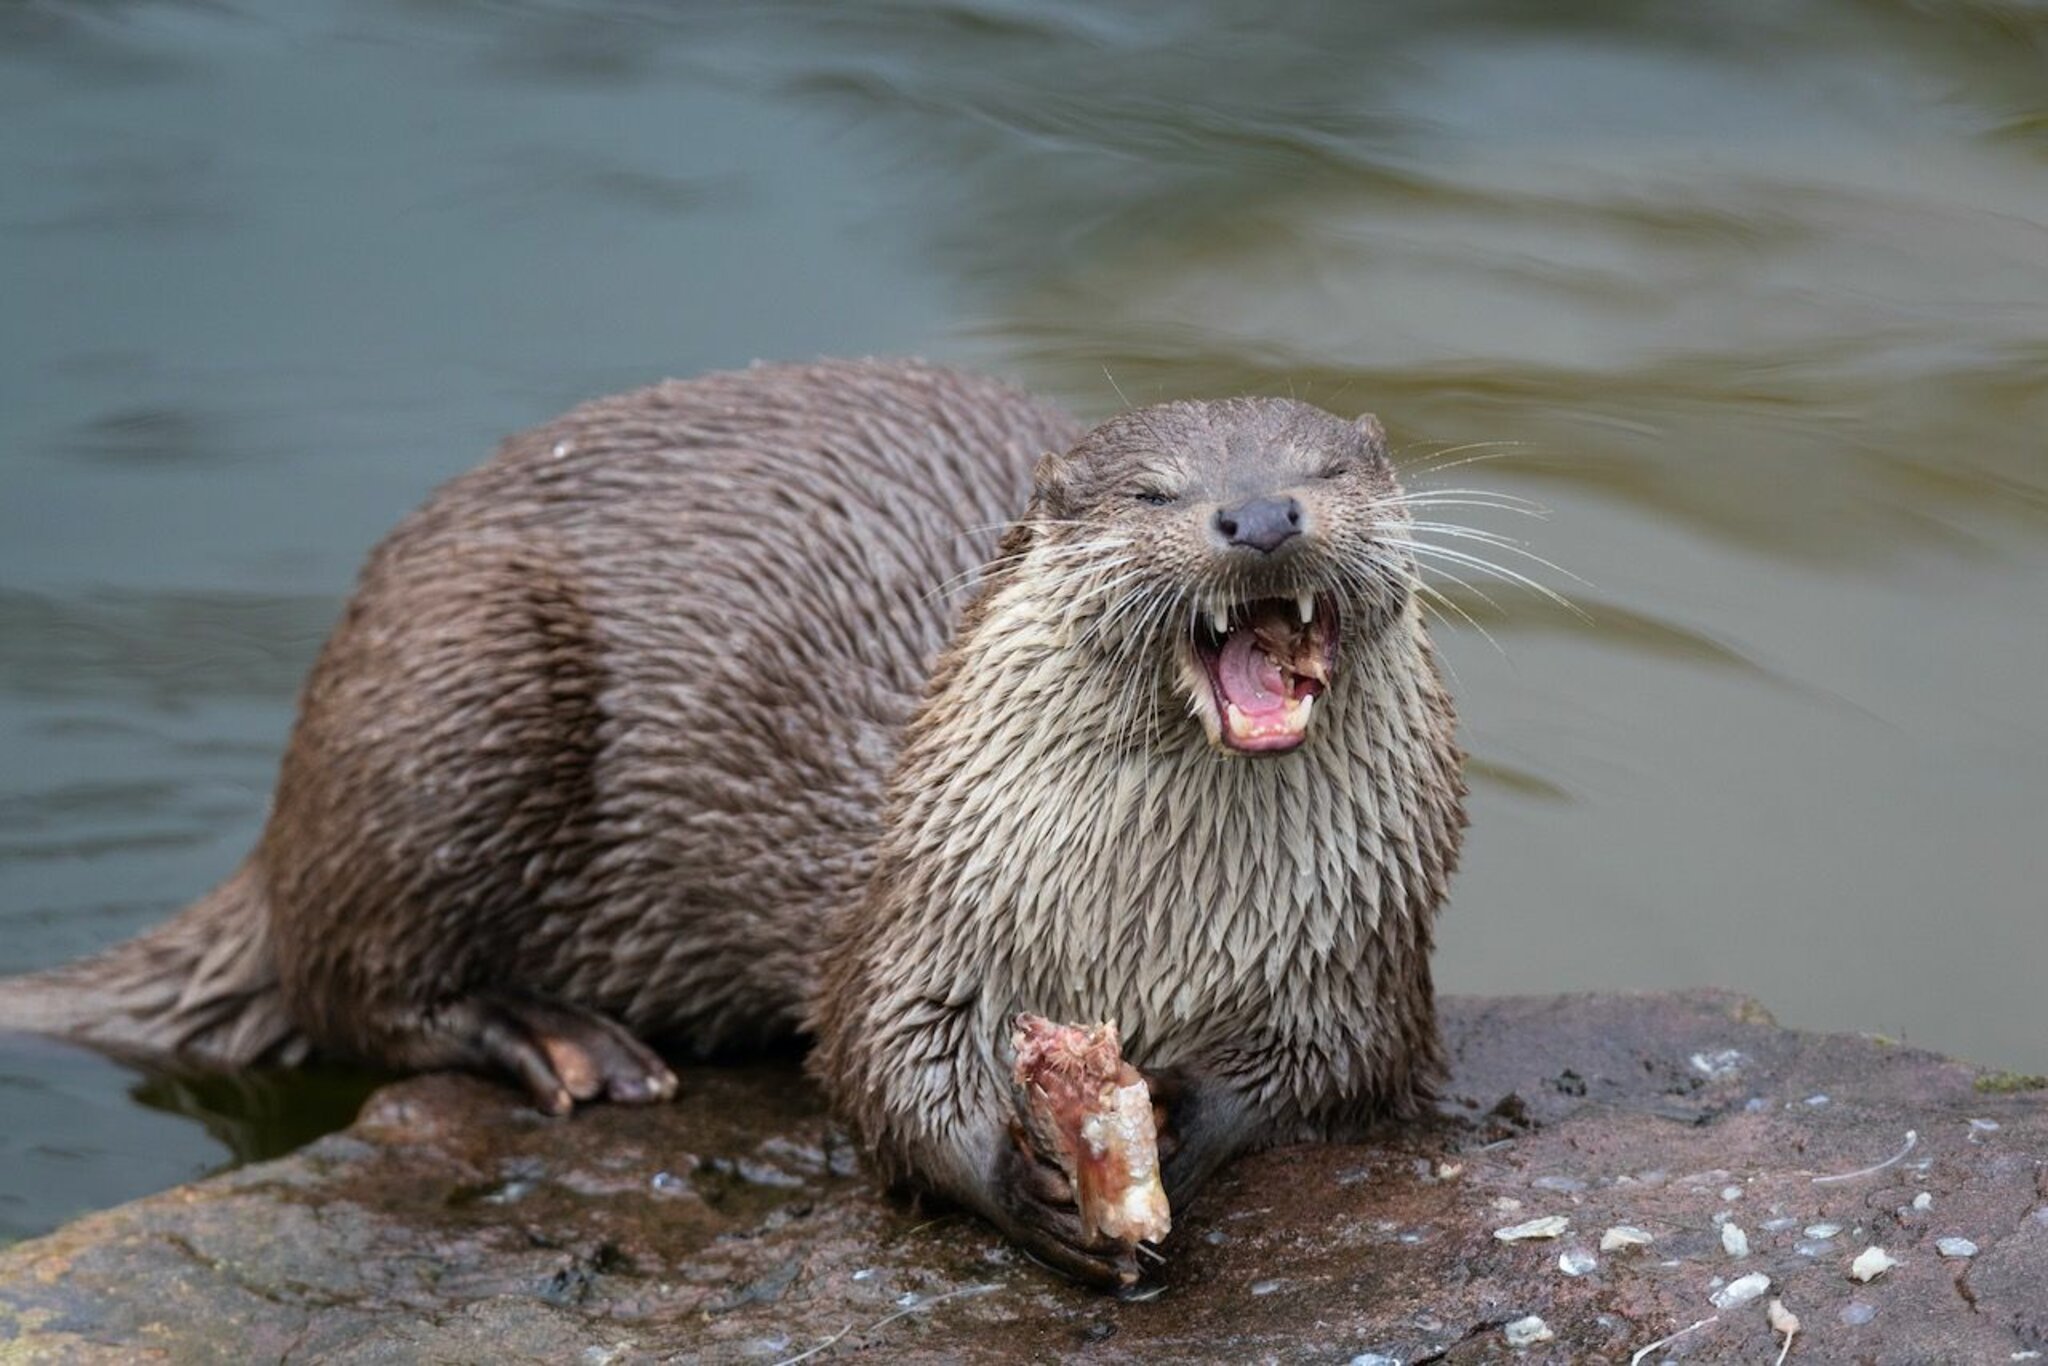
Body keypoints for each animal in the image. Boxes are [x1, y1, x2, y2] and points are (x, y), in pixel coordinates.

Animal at [0, 359, 1465, 1284]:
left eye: (1329, 465)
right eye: (1155, 488)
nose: (1260, 513)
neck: (1152, 922)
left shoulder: (1358, 951)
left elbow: (1322, 1074)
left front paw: (1170, 1116)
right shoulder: (922, 908)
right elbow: (877, 1059)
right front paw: (1025, 1173)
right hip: (449, 690)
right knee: (355, 978)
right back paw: (564, 1043)